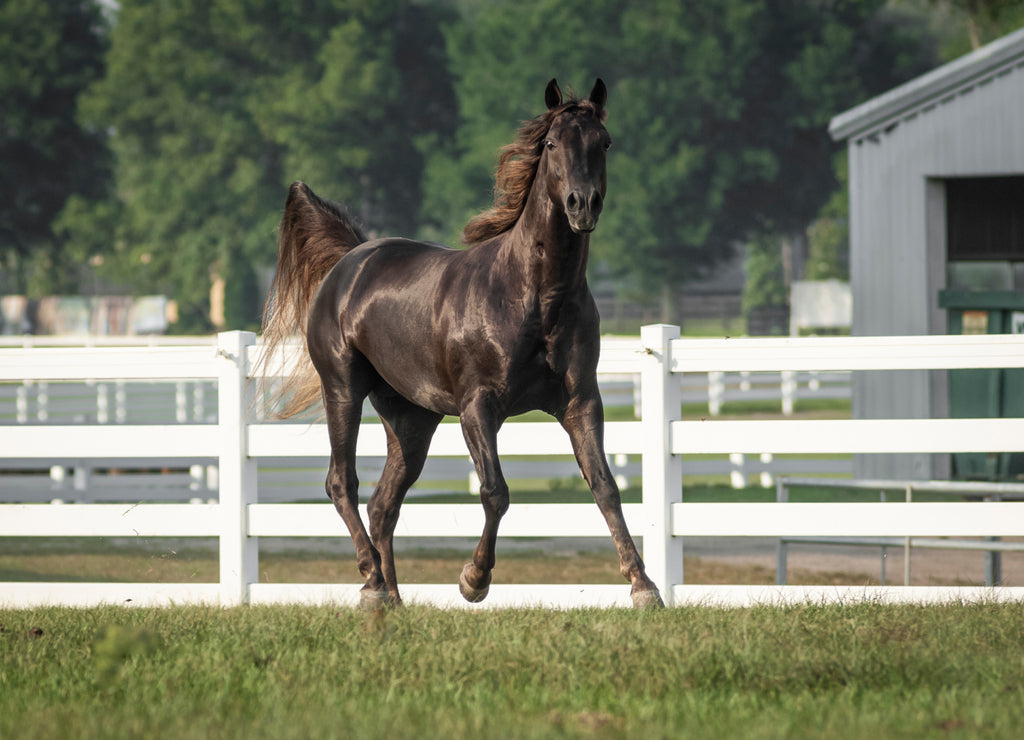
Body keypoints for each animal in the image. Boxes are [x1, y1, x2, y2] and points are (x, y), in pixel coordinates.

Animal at [260, 78, 663, 609]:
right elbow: (495, 491)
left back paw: (391, 598)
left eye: (605, 142)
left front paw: (644, 586)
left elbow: (605, 487)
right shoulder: (479, 407)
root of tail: (350, 261)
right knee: (341, 483)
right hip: (343, 389)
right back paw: (371, 581)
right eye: (552, 144)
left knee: (383, 503)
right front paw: (474, 579)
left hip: (412, 419)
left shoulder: (580, 403)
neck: (534, 295)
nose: (583, 205)